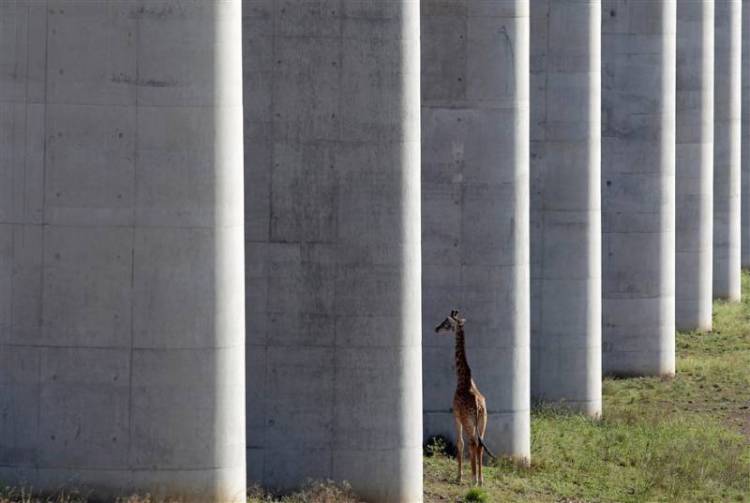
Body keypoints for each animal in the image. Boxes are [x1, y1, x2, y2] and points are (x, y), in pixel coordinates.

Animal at [435, 309, 496, 486]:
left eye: (446, 323)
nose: (436, 328)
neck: (464, 379)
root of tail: (478, 406)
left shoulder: (456, 415)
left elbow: (460, 443)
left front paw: (459, 476)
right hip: (483, 421)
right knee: (480, 444)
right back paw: (480, 479)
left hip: (469, 422)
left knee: (473, 443)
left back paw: (474, 479)